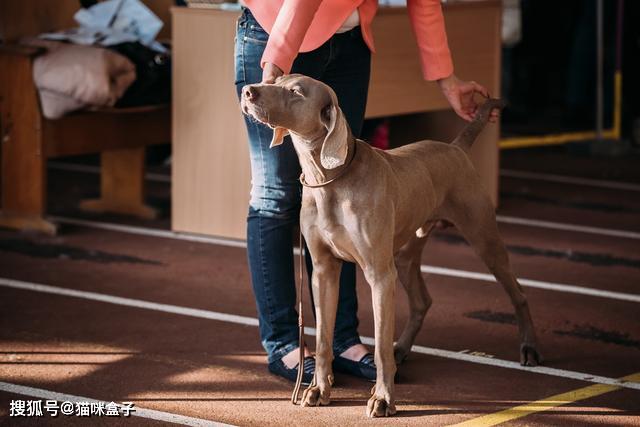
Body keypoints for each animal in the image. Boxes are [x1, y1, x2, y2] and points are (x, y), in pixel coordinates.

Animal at [240, 74, 540, 418]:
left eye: (295, 92)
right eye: (275, 79)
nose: (248, 91)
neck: (330, 180)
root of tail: (456, 147)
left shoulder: (379, 275)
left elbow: (380, 345)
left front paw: (383, 398)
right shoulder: (323, 270)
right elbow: (324, 339)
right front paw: (319, 389)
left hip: (482, 238)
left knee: (518, 293)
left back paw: (529, 348)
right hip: (405, 254)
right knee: (423, 301)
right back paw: (403, 349)